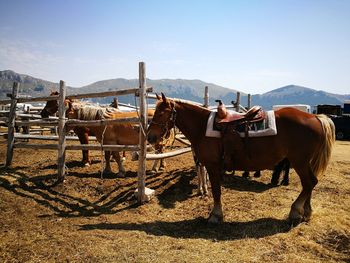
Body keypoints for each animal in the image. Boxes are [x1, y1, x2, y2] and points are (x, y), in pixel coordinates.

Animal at [148, 94, 336, 226]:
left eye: (161, 113)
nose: (150, 136)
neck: (201, 126)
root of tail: (316, 117)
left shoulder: (212, 166)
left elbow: (216, 191)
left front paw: (215, 215)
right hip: (305, 162)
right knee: (311, 183)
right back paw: (306, 211)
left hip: (300, 161)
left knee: (308, 183)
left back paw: (295, 211)